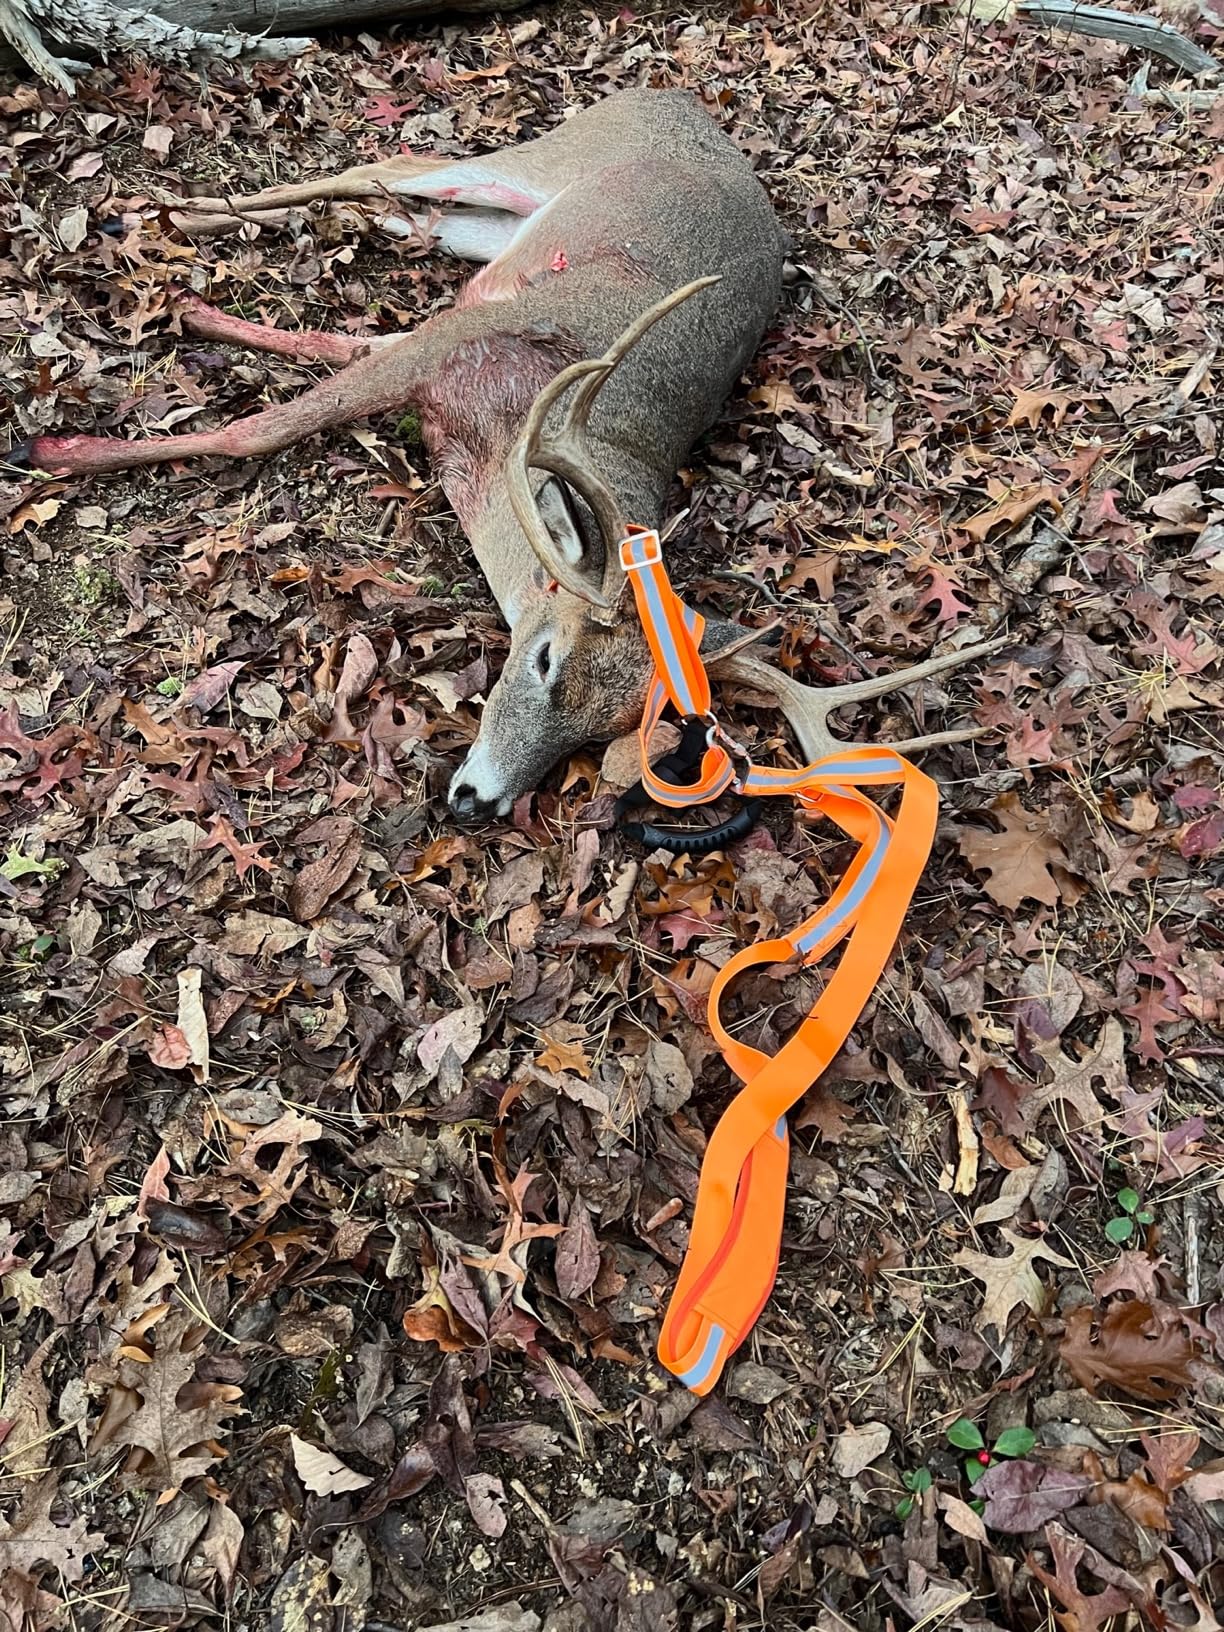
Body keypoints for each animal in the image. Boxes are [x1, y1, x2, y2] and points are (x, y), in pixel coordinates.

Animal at [13, 88, 998, 820]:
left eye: (609, 731)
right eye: (543, 659)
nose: (476, 802)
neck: (494, 452)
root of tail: (678, 97)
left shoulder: (435, 353)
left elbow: (336, 346)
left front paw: (195, 317)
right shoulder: (450, 347)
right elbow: (262, 425)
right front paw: (57, 447)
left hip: (493, 225)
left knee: (403, 210)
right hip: (542, 159)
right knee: (392, 166)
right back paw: (179, 213)